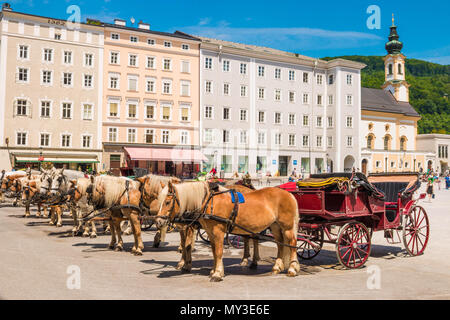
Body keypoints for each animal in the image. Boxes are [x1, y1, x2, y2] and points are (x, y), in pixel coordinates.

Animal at [156, 181, 300, 282]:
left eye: (167, 202)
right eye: (159, 201)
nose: (158, 221)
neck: (209, 201)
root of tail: (289, 194)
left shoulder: (218, 231)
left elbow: (218, 252)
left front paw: (217, 274)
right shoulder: (210, 232)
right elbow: (214, 252)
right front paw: (213, 270)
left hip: (287, 227)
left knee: (292, 243)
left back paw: (292, 269)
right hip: (275, 226)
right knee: (280, 244)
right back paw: (277, 267)